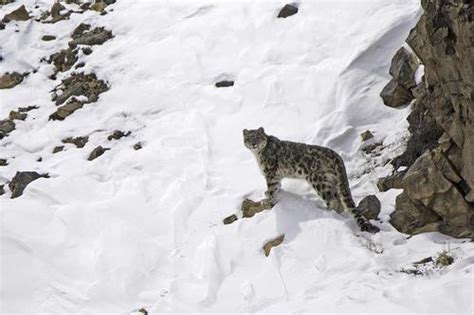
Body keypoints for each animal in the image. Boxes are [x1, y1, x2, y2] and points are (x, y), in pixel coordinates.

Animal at [244, 126, 382, 235]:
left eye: (257, 136)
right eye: (249, 138)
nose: (253, 144)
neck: (258, 155)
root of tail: (337, 156)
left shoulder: (270, 174)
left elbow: (272, 189)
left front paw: (268, 201)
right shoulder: (276, 177)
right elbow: (277, 187)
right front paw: (269, 195)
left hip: (317, 180)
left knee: (331, 199)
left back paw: (324, 210)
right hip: (330, 180)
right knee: (338, 199)